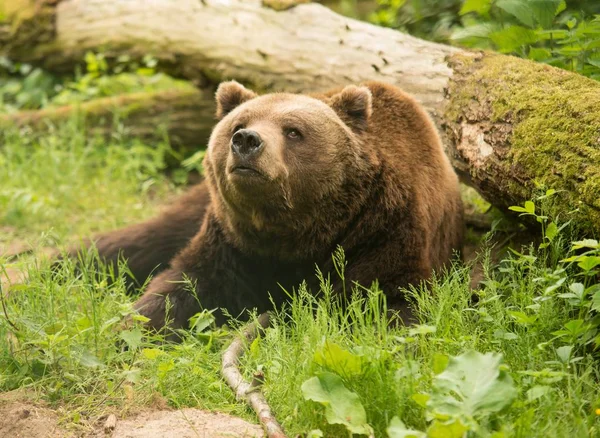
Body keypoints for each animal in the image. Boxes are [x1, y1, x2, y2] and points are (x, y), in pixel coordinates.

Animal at [69, 80, 464, 334]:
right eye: (239, 123)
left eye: (293, 131)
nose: (246, 141)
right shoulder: (232, 240)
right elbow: (179, 286)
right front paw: (128, 332)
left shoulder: (383, 231)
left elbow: (387, 303)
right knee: (132, 243)